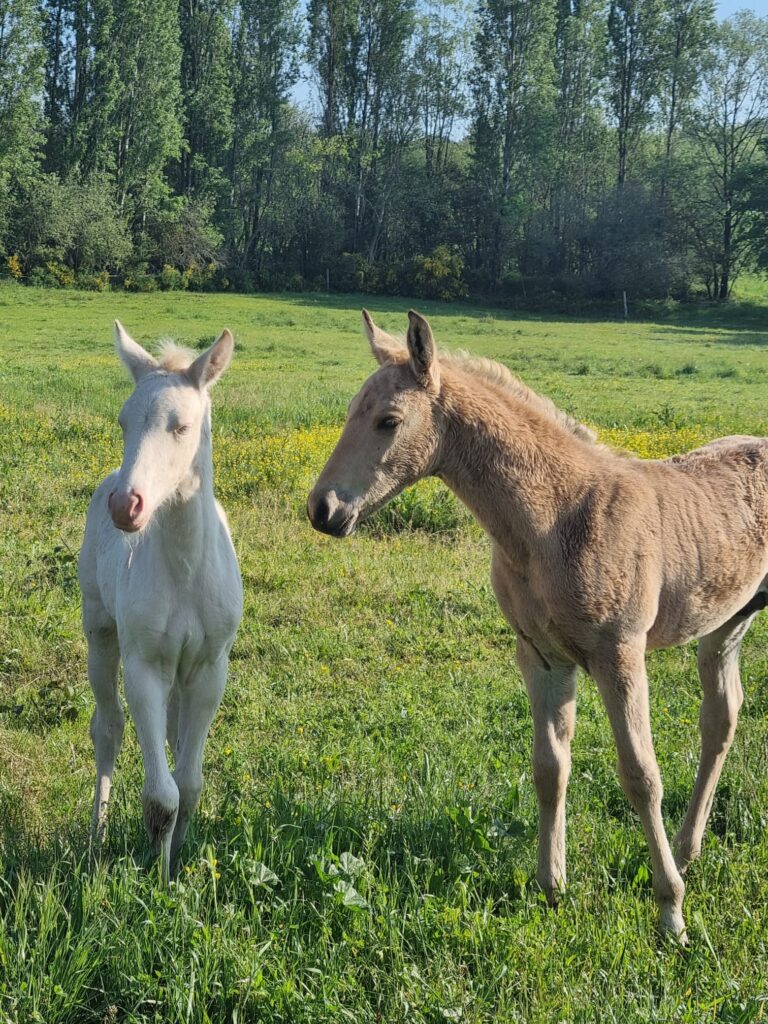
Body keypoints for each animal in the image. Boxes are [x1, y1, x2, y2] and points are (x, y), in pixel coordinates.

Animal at [79, 321, 241, 880]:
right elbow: (161, 796)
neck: (186, 572)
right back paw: (98, 833)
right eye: (123, 422)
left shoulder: (211, 668)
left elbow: (188, 784)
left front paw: (177, 866)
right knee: (108, 729)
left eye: (181, 426)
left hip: (182, 671)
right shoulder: (144, 666)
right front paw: (160, 876)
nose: (126, 505)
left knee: (171, 737)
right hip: (99, 632)